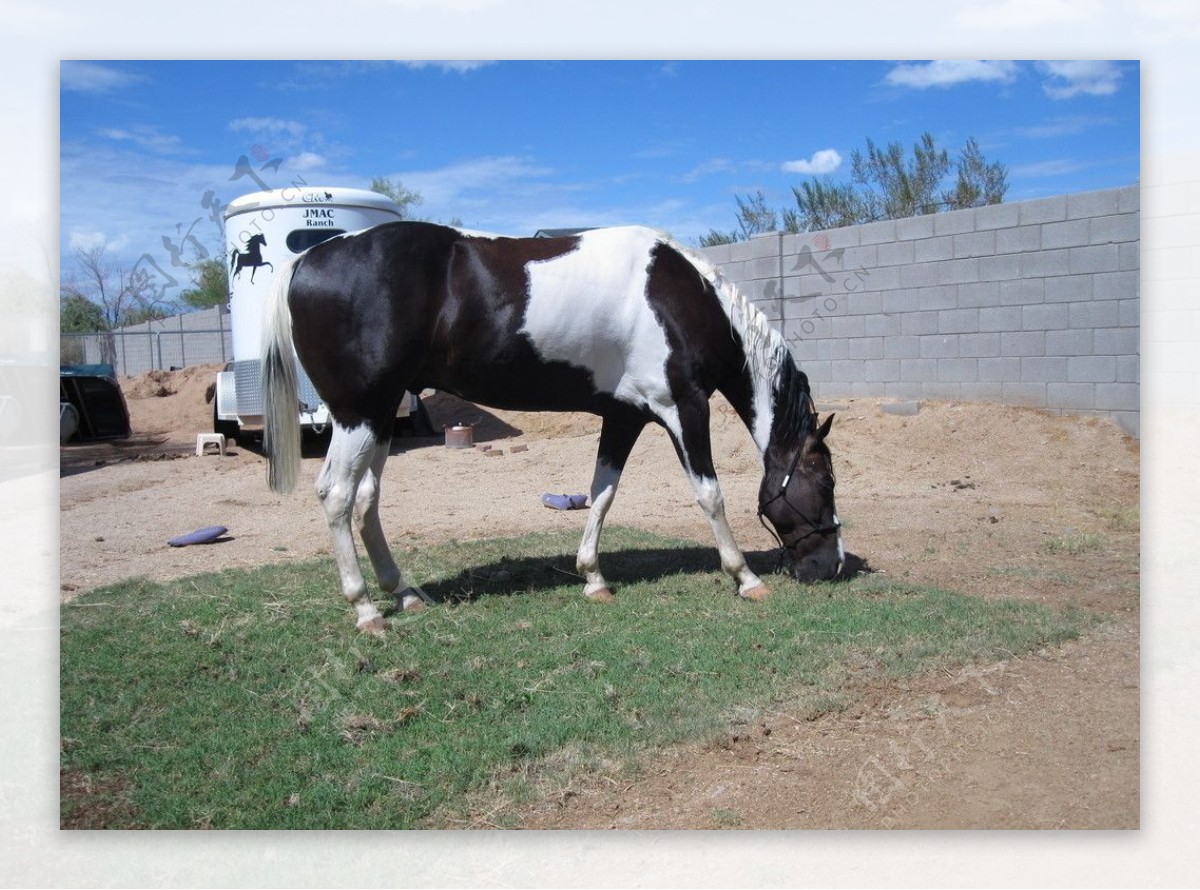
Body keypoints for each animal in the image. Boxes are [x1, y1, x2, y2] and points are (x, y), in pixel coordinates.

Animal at [262, 226, 844, 638]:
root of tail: (307, 259)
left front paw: (593, 578)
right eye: (827, 480)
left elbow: (602, 493)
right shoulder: (683, 408)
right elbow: (709, 494)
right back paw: (366, 609)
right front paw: (745, 577)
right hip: (358, 413)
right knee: (336, 495)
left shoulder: (624, 417)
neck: (682, 298)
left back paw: (403, 592)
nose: (832, 565)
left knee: (366, 498)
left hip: (381, 415)